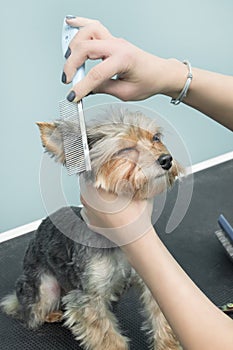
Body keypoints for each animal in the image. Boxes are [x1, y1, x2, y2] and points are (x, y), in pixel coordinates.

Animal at [0, 108, 182, 348]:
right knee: (27, 311)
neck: (115, 242)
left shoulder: (151, 280)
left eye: (156, 138)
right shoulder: (88, 299)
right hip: (44, 287)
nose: (166, 159)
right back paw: (48, 313)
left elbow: (163, 320)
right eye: (124, 149)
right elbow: (109, 339)